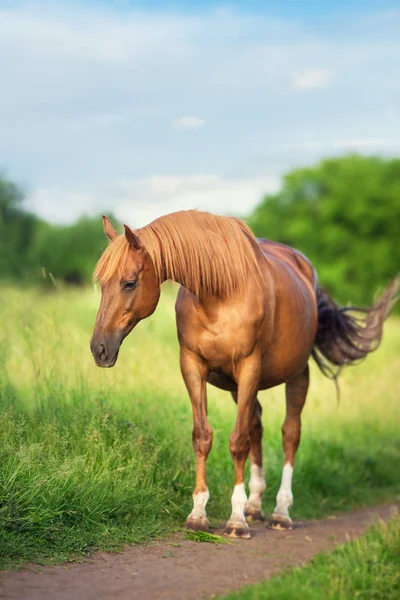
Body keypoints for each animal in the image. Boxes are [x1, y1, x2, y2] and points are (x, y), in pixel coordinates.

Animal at [90, 212, 400, 540]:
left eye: (130, 283)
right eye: (102, 283)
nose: (99, 348)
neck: (219, 295)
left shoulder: (249, 366)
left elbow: (238, 442)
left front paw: (236, 520)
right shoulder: (192, 365)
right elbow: (203, 436)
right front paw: (198, 514)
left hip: (296, 375)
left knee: (290, 433)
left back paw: (280, 512)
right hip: (239, 387)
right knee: (256, 426)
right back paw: (255, 505)